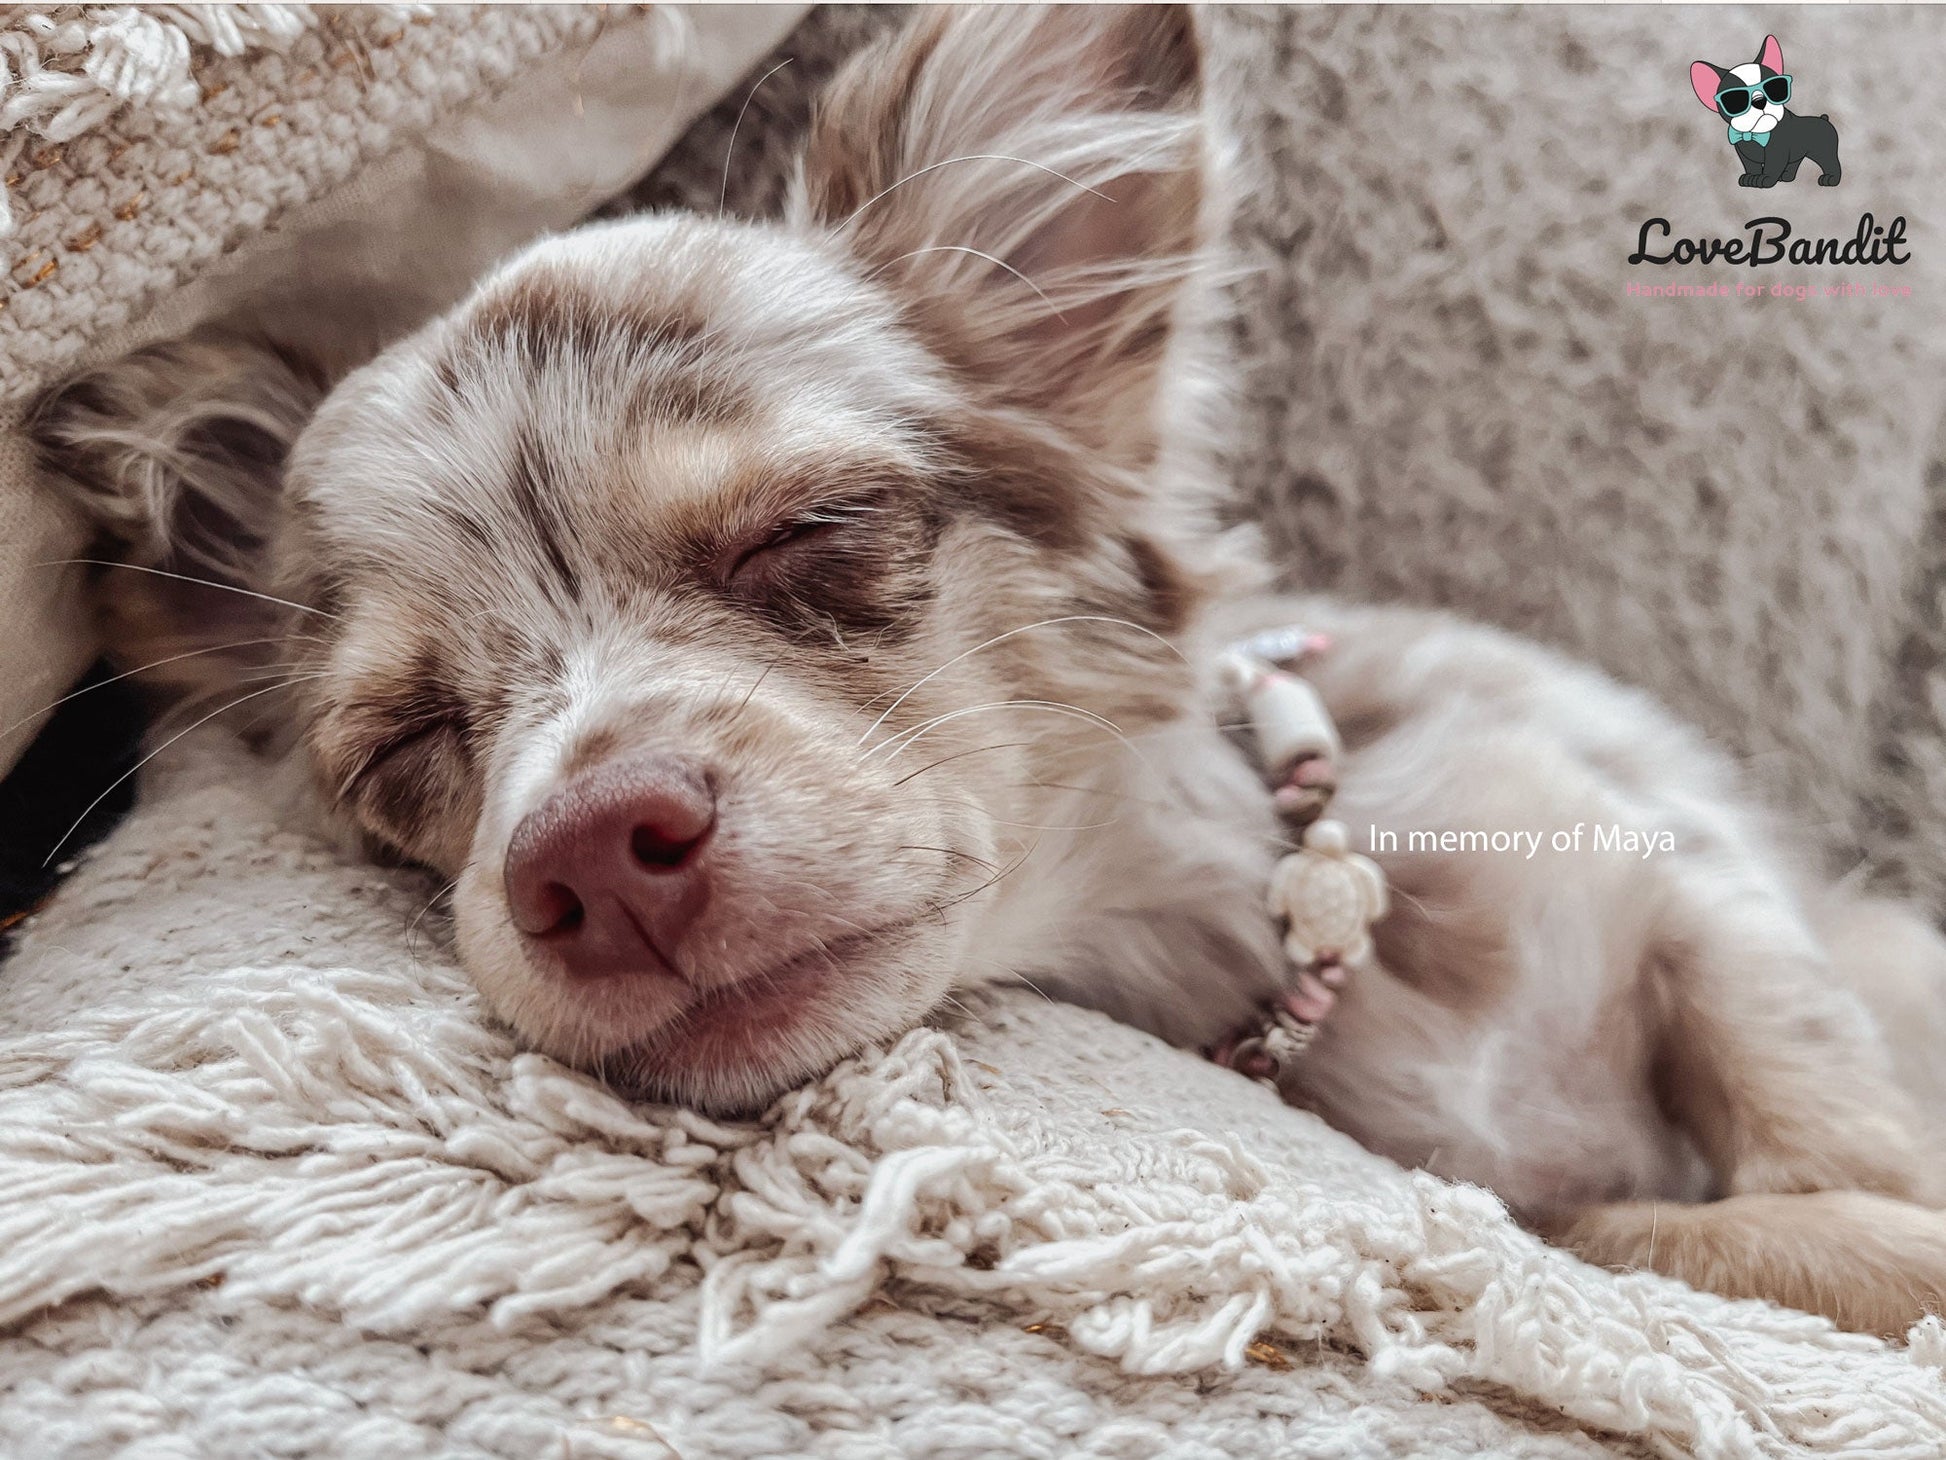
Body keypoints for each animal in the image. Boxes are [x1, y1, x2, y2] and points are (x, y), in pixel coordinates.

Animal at [30, 5, 1946, 1339]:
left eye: (805, 534)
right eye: (403, 747)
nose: (586, 853)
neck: (1313, 951)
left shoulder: (1687, 877)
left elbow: (1814, 1109)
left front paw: (1871, 1203)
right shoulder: (1495, 1186)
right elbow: (1671, 1226)